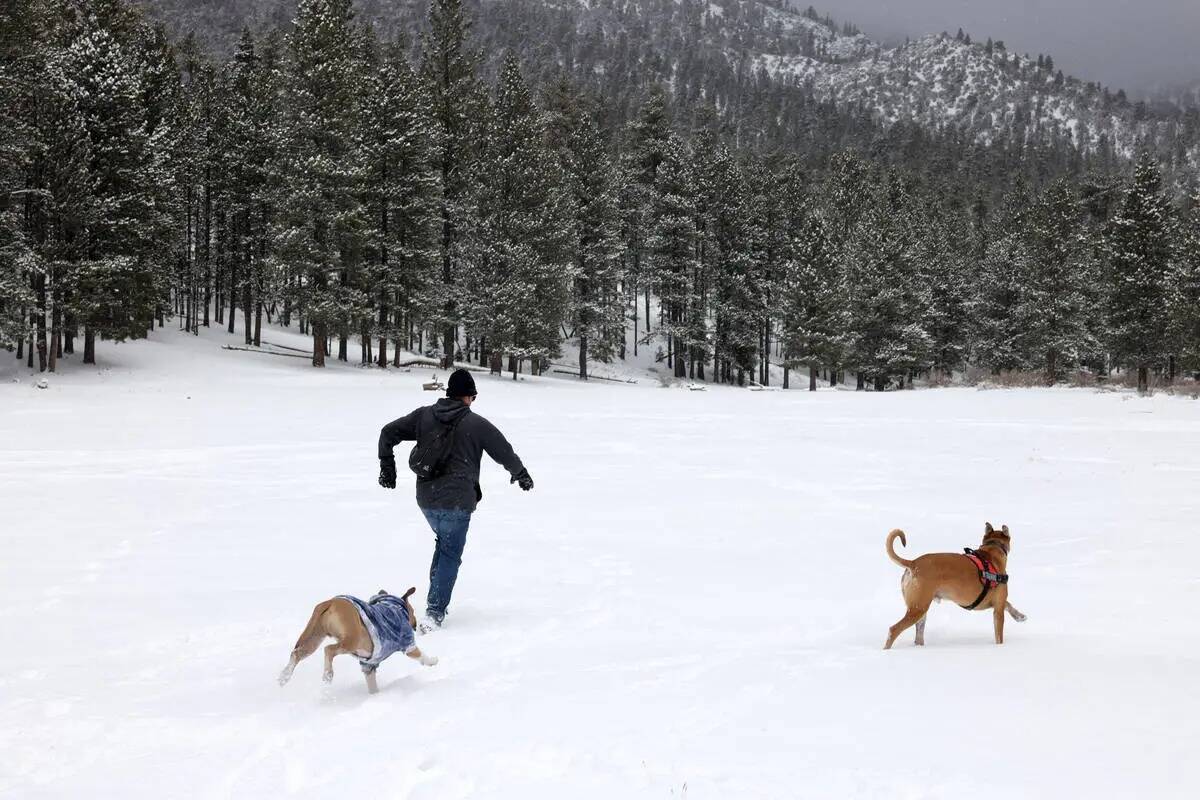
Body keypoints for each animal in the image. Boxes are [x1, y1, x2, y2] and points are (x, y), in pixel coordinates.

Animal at [888, 525, 1027, 652]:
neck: (992, 549)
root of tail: (913, 563)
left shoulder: (997, 602)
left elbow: (1008, 604)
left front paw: (1019, 616)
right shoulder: (998, 608)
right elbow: (999, 634)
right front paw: (1000, 647)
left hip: (920, 610)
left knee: (918, 635)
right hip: (918, 608)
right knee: (893, 630)